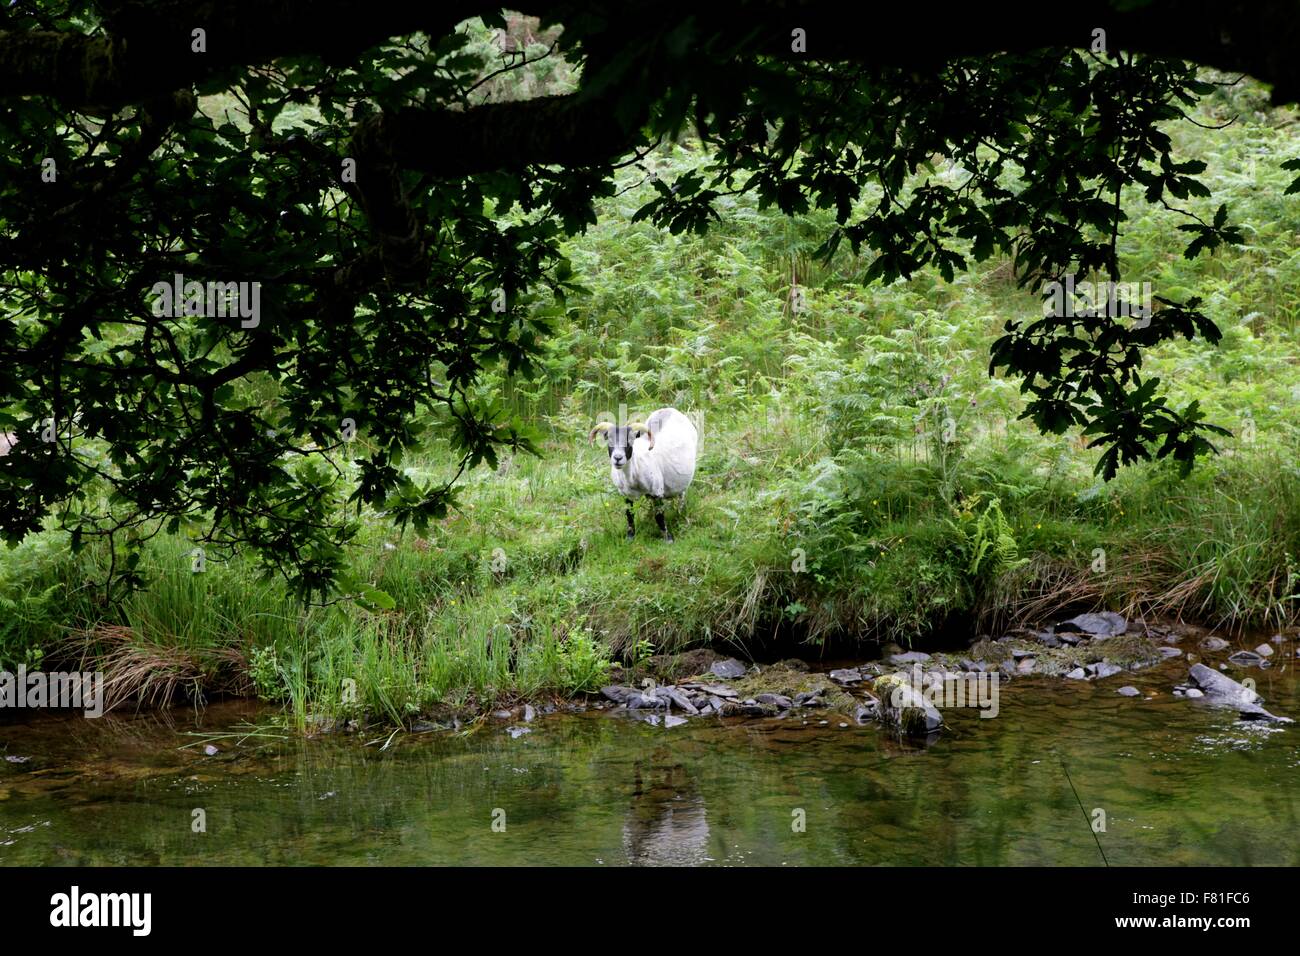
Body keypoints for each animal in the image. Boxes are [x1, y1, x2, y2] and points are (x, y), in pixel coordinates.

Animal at [595, 408, 702, 541]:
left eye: (630, 441)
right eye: (609, 441)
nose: (618, 458)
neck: (632, 476)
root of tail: (669, 409)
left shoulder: (657, 490)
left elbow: (659, 516)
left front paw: (668, 538)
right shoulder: (626, 495)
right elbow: (629, 515)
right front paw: (630, 537)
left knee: (681, 495)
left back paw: (680, 513)